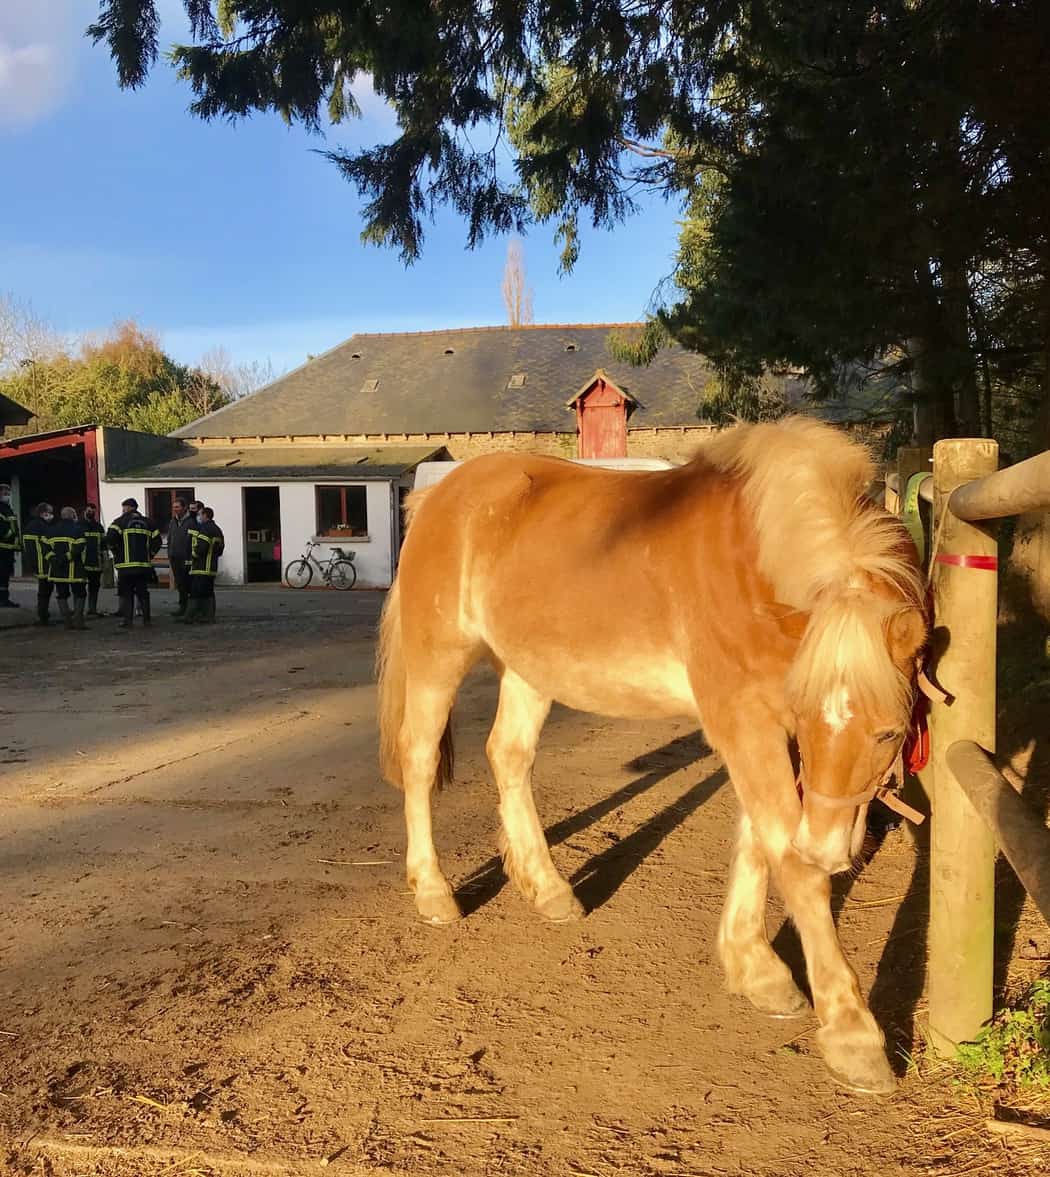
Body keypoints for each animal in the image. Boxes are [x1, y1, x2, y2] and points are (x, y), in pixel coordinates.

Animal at [377, 417, 927, 1095]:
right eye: (814, 718)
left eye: (888, 732)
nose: (830, 846)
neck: (754, 562)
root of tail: (437, 498)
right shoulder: (746, 721)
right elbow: (789, 861)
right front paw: (853, 1034)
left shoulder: (760, 722)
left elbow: (758, 842)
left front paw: (755, 967)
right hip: (438, 660)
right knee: (421, 761)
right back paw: (434, 894)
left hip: (530, 668)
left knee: (509, 755)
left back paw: (547, 889)